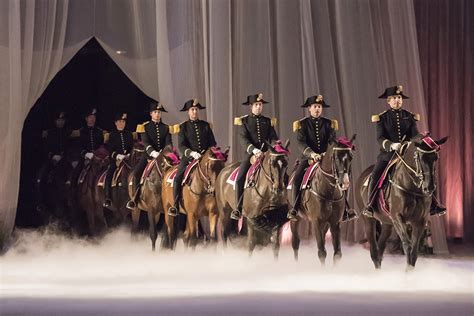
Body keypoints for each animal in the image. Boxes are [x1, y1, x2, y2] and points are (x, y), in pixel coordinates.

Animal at [288, 135, 356, 266]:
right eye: (336, 157)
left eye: (351, 157)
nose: (345, 183)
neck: (329, 191)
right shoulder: (316, 221)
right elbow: (322, 253)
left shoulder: (335, 223)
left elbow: (337, 254)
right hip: (296, 218)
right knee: (295, 243)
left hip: (325, 224)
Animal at [356, 135, 448, 270]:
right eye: (419, 157)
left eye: (436, 157)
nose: (429, 187)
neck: (411, 187)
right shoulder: (397, 217)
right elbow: (407, 245)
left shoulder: (420, 221)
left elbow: (414, 251)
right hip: (369, 221)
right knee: (374, 251)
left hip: (387, 223)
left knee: (380, 249)